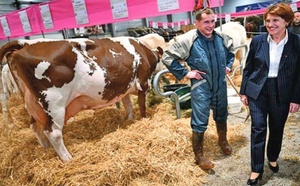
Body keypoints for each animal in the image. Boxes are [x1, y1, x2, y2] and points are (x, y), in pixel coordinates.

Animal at [0, 37, 163, 161]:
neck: (143, 51)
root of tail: (24, 43)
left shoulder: (123, 89)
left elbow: (128, 105)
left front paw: (129, 120)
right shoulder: (143, 84)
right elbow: (142, 108)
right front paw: (143, 120)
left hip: (33, 104)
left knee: (36, 127)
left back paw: (47, 149)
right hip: (54, 103)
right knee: (53, 133)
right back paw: (67, 158)